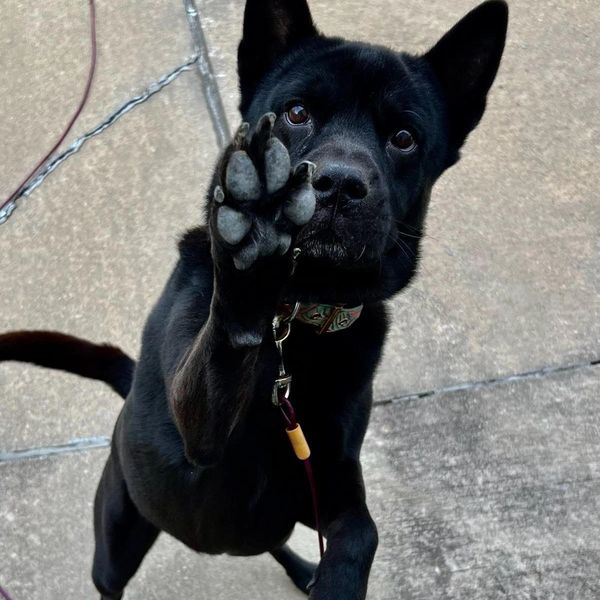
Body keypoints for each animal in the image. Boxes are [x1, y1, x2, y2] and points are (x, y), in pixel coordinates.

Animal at [0, 2, 508, 596]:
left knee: (275, 544)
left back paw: (306, 572)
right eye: (296, 112)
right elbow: (226, 341)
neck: (296, 320)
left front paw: (334, 581)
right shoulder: (201, 438)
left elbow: (364, 531)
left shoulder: (326, 482)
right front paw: (250, 245)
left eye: (404, 137)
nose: (337, 185)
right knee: (110, 578)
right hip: (119, 529)